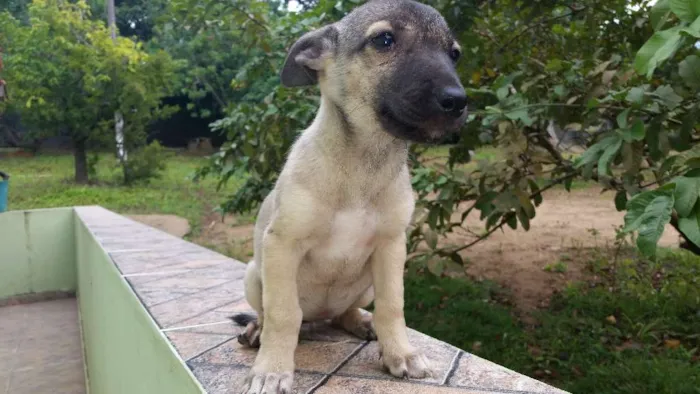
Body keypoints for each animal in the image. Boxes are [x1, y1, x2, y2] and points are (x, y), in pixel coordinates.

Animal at [232, 1, 468, 392]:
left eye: (454, 54)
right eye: (384, 39)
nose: (458, 101)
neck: (361, 165)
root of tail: (320, 318)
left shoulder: (391, 247)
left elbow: (393, 306)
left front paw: (400, 353)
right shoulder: (282, 244)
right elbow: (283, 314)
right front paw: (272, 369)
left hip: (365, 284)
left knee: (346, 312)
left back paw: (360, 322)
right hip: (254, 273)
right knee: (273, 314)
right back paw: (256, 331)